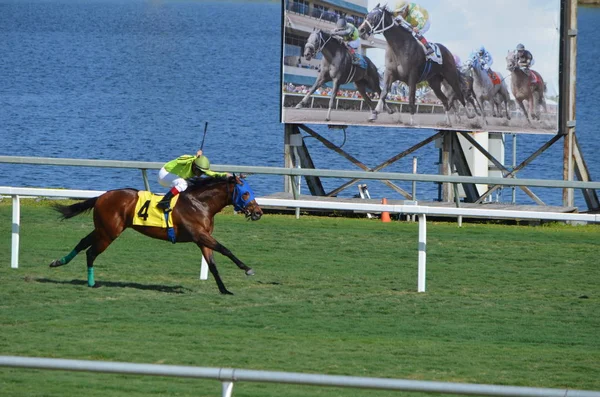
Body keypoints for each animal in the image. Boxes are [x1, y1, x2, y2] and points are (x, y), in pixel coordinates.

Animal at [52, 176, 264, 294]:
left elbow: (212, 265)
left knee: (82, 243)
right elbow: (225, 249)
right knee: (91, 252)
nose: (258, 212)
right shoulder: (199, 235)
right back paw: (92, 283)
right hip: (109, 233)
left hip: (103, 229)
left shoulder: (202, 239)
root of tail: (102, 196)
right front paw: (247, 269)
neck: (200, 204)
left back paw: (58, 262)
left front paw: (224, 290)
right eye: (246, 194)